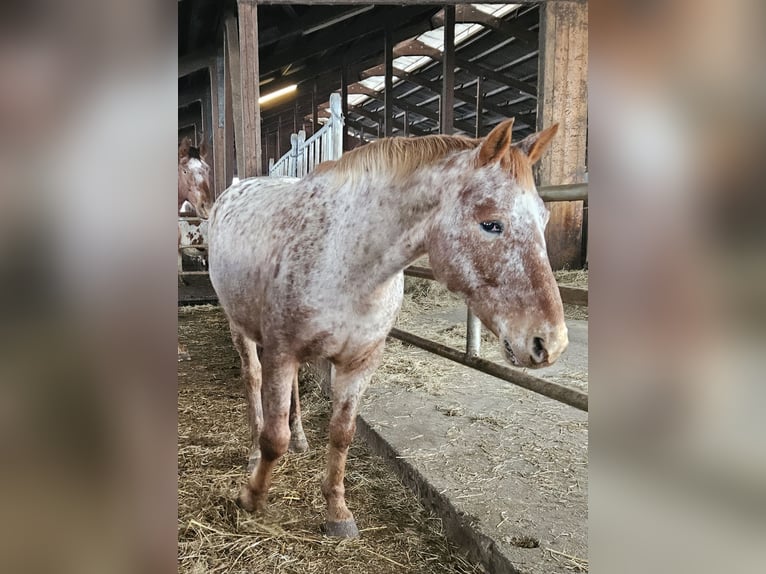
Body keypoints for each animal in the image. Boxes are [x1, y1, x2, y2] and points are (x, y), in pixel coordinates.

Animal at [207, 118, 568, 540]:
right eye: (490, 224)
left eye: (544, 219)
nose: (549, 342)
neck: (346, 262)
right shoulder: (282, 351)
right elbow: (273, 438)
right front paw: (251, 498)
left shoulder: (360, 361)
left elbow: (342, 434)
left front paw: (338, 512)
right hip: (241, 328)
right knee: (252, 380)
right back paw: (251, 453)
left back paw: (300, 438)